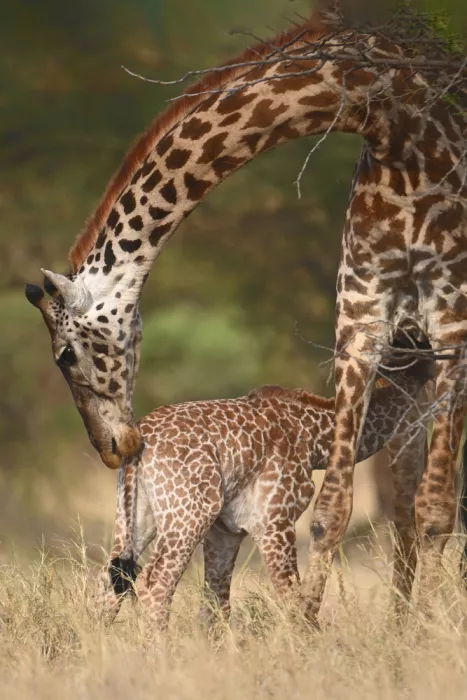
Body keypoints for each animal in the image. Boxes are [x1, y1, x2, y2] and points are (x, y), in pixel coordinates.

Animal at [98, 352, 433, 633]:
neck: (315, 439)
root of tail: (139, 442)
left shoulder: (226, 530)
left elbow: (216, 602)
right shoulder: (274, 521)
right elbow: (290, 596)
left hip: (137, 518)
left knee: (112, 577)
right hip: (189, 515)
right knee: (154, 581)